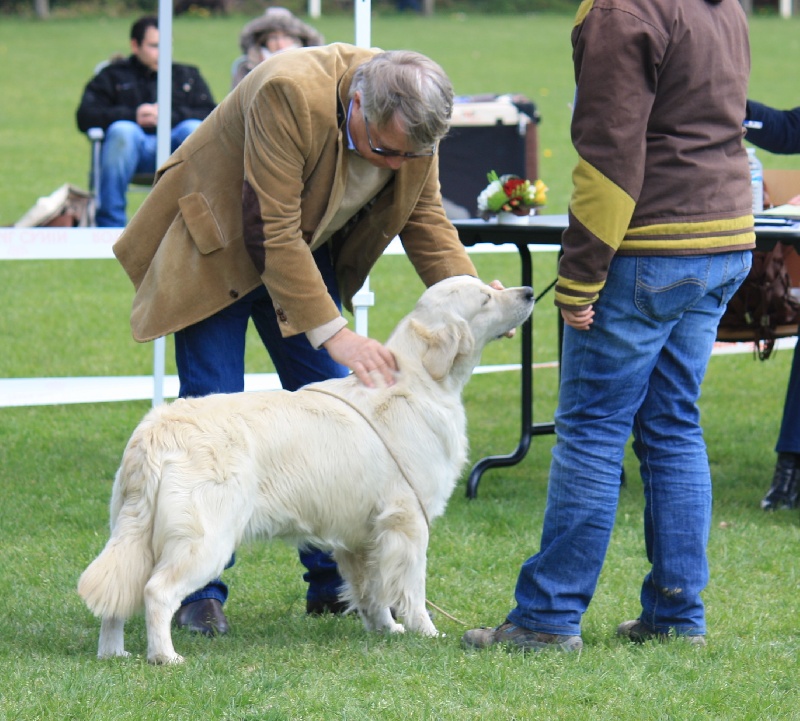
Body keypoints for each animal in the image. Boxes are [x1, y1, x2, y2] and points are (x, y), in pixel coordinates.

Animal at [78, 276, 534, 664]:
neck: (419, 382)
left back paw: (113, 653)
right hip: (205, 539)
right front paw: (426, 631)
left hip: (134, 532)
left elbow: (373, 590)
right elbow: (411, 587)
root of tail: (154, 431)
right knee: (156, 591)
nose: (529, 291)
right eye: (485, 299)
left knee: (117, 593)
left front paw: (385, 629)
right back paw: (165, 656)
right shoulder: (408, 521)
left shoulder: (360, 534)